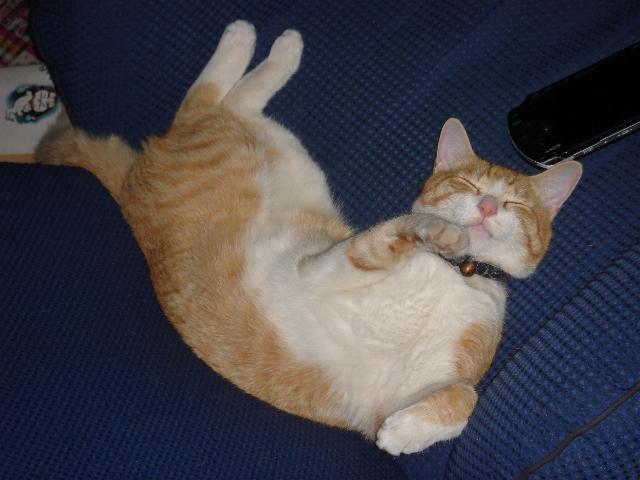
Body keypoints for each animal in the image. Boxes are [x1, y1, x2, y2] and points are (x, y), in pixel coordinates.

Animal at [33, 20, 582, 455]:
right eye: (466, 185)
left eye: (515, 206)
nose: (487, 207)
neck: (455, 274)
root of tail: (131, 185)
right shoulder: (326, 266)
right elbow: (394, 234)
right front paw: (436, 229)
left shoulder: (402, 394)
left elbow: (463, 397)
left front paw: (406, 433)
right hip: (239, 146)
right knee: (205, 99)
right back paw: (248, 38)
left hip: (281, 147)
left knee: (235, 100)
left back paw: (277, 48)